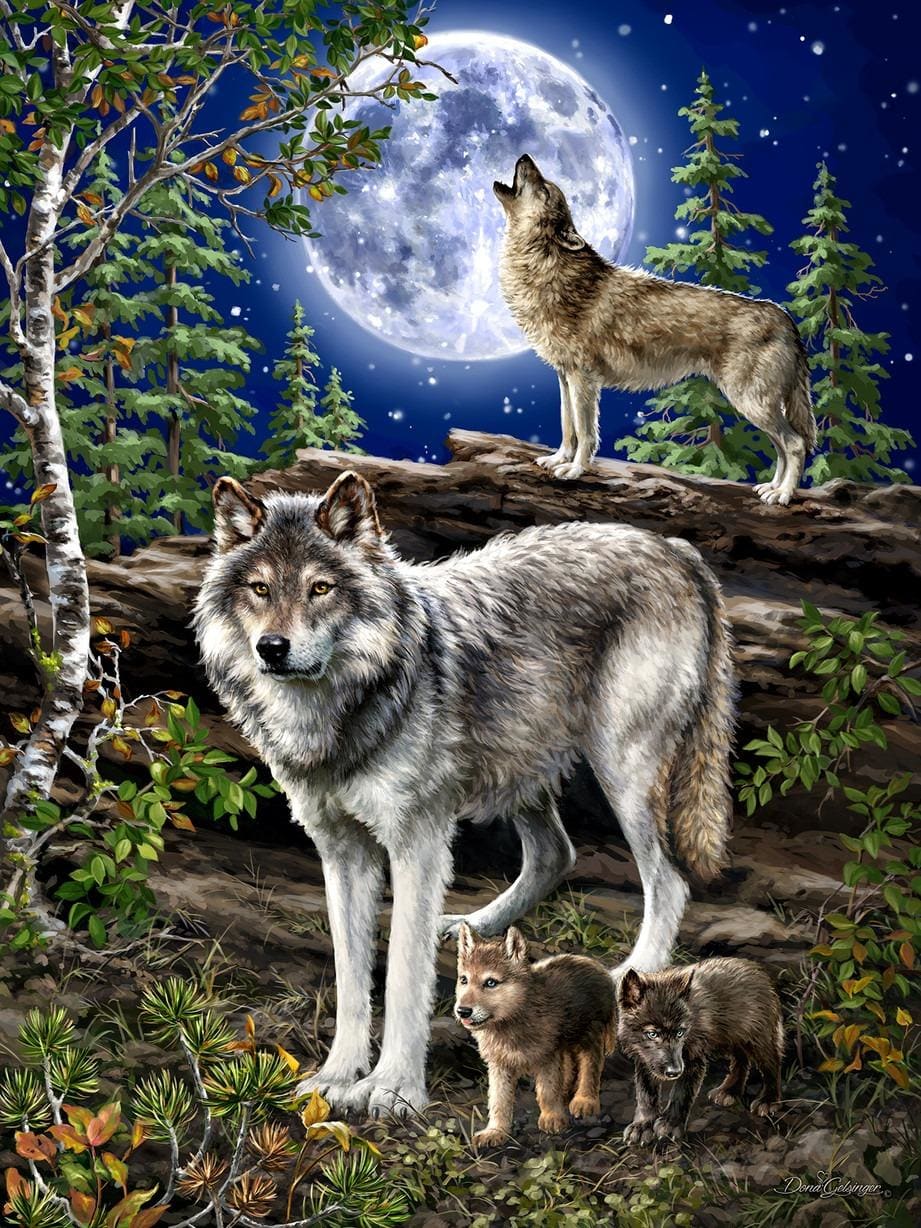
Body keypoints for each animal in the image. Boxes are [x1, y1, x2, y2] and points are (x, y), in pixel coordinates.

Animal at [193, 468, 734, 1118]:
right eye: (259, 588)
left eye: (321, 588)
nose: (272, 648)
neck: (339, 712)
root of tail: (676, 549)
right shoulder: (340, 850)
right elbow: (352, 977)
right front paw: (336, 1076)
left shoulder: (418, 843)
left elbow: (404, 975)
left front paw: (392, 1088)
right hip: (520, 769)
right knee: (557, 854)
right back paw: (472, 925)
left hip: (621, 770)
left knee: (667, 882)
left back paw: (628, 977)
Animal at [454, 923, 616, 1146]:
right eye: (464, 980)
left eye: (491, 983)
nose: (463, 1011)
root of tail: (597, 966)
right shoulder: (499, 1065)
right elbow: (498, 1101)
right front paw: (495, 1132)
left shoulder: (546, 1057)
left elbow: (547, 1090)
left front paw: (552, 1119)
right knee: (568, 1067)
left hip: (588, 1035)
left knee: (590, 1066)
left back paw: (584, 1101)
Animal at [494, 154, 817, 505]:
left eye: (544, 189)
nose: (525, 156)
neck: (547, 268)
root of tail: (785, 317)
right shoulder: (565, 377)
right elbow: (568, 428)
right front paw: (557, 459)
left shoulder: (583, 379)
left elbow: (585, 432)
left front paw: (575, 470)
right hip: (757, 405)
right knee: (782, 447)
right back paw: (771, 487)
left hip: (751, 402)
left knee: (795, 444)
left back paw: (783, 495)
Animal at [618, 958, 785, 1147]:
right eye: (652, 1034)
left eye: (680, 1032)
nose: (674, 1072)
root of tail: (757, 971)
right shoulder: (645, 1062)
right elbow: (645, 1095)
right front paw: (642, 1126)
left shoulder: (693, 1061)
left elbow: (680, 1094)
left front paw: (670, 1124)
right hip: (730, 1042)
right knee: (741, 1062)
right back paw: (729, 1091)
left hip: (757, 1042)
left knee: (772, 1065)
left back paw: (768, 1100)